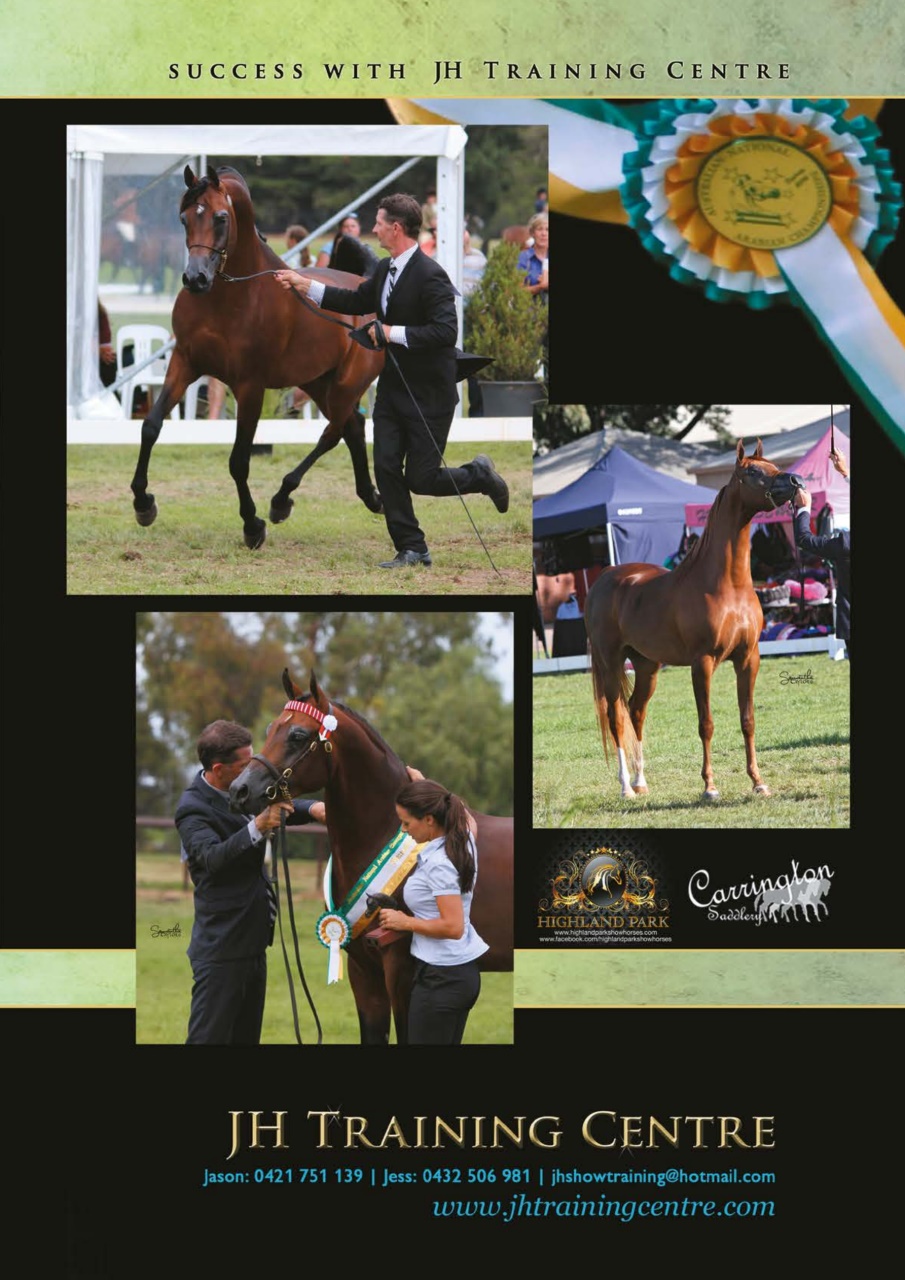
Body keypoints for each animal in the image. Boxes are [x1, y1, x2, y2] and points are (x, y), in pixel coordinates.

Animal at [130, 165, 385, 549]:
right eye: (183, 217)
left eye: (221, 217)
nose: (195, 279)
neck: (229, 298)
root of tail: (365, 288)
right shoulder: (184, 363)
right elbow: (150, 426)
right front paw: (143, 503)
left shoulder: (250, 386)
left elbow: (239, 460)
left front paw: (252, 525)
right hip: (316, 382)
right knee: (352, 427)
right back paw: (369, 497)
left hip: (347, 384)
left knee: (334, 432)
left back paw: (282, 500)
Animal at [583, 439, 802, 803]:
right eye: (753, 472)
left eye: (773, 465)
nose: (797, 481)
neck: (727, 585)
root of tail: (603, 580)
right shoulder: (703, 662)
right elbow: (706, 724)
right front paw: (710, 787)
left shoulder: (748, 659)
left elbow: (748, 720)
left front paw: (758, 782)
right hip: (611, 664)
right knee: (616, 717)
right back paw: (626, 787)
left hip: (646, 666)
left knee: (636, 712)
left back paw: (642, 782)